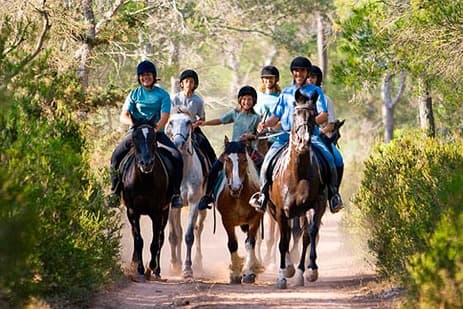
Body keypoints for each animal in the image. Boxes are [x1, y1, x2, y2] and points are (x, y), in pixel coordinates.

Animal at [120, 118, 173, 282]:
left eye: (153, 139)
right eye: (135, 138)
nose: (146, 163)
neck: (144, 181)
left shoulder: (157, 213)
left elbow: (155, 242)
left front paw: (151, 267)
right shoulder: (132, 212)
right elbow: (138, 240)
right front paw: (139, 269)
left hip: (166, 211)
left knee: (161, 238)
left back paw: (157, 270)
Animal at [166, 109, 211, 278]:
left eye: (188, 122)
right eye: (171, 122)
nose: (178, 143)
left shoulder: (193, 203)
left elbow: (188, 236)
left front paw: (187, 269)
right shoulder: (171, 205)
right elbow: (174, 236)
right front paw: (174, 265)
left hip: (202, 207)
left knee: (198, 229)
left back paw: (198, 262)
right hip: (177, 208)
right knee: (177, 231)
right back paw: (176, 262)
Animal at [215, 138, 262, 282]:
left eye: (244, 160)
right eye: (226, 159)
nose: (235, 187)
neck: (238, 197)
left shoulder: (255, 219)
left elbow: (250, 243)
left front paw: (248, 272)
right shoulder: (227, 221)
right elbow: (232, 244)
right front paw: (235, 273)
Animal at [262, 88, 328, 288]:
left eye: (313, 115)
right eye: (295, 114)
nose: (303, 141)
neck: (297, 174)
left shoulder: (315, 205)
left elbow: (310, 234)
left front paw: (309, 271)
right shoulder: (280, 211)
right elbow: (283, 242)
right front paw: (282, 276)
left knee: (301, 235)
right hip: (275, 211)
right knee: (287, 236)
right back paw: (289, 268)